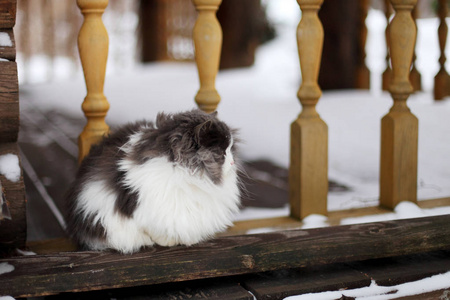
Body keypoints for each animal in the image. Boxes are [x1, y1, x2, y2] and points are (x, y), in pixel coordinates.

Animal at [65, 109, 241, 253]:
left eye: (230, 150)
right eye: (221, 153)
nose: (233, 162)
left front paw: (189, 240)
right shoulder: (146, 209)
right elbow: (155, 230)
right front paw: (167, 242)